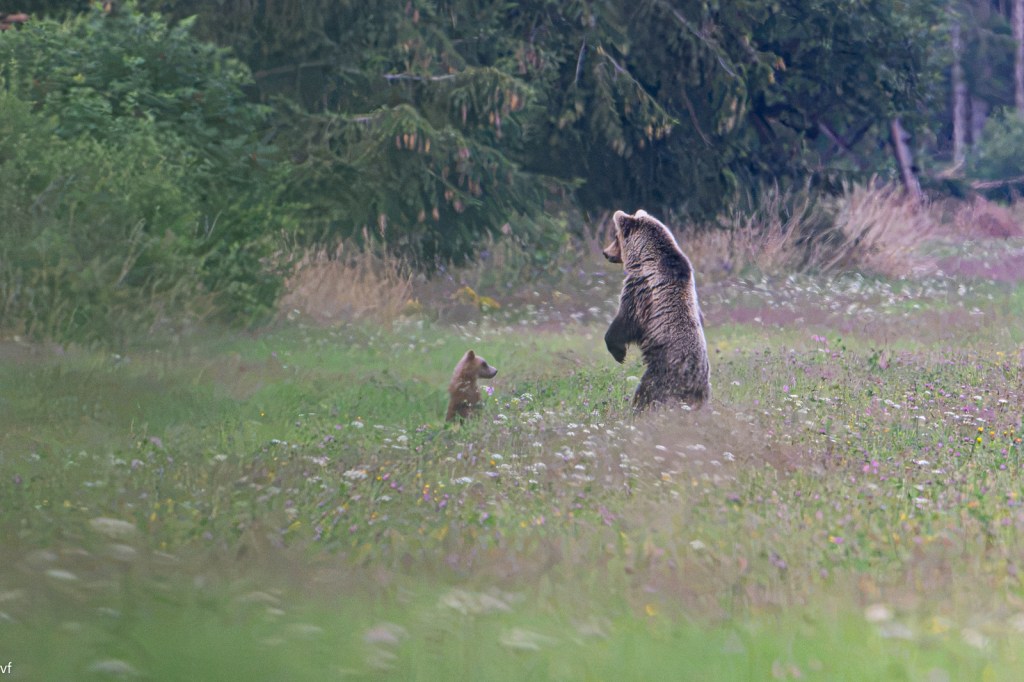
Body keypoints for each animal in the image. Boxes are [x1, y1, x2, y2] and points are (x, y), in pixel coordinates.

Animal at [602, 209, 710, 413]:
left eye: (615, 237)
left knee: (645, 394)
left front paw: (618, 352)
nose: (605, 253)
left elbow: (626, 320)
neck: (645, 257)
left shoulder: (641, 289)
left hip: (661, 374)